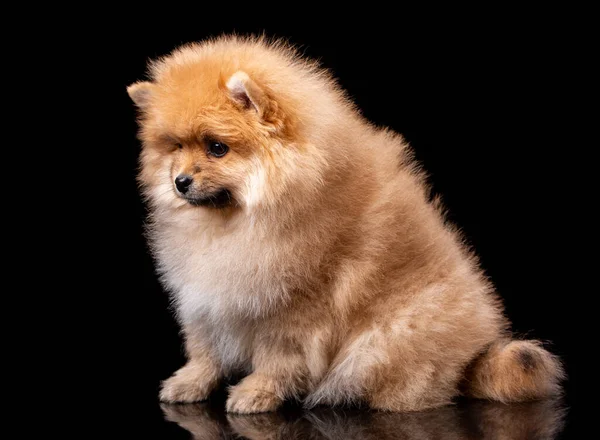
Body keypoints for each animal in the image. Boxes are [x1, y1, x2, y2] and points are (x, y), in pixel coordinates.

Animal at [126, 34, 564, 412]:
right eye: (176, 146)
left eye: (217, 148)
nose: (180, 181)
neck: (239, 221)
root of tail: (471, 359)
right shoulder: (205, 296)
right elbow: (204, 349)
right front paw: (189, 383)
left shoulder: (291, 306)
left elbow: (278, 358)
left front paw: (257, 392)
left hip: (394, 333)